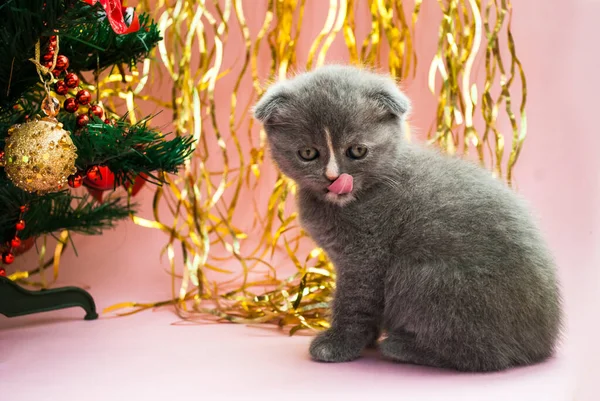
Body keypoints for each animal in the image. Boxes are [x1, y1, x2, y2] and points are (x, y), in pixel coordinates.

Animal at [253, 64, 564, 370]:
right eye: (307, 153)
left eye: (357, 150)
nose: (334, 177)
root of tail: (540, 344)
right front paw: (363, 341)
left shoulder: (367, 255)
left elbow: (354, 302)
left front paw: (338, 345)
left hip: (422, 276)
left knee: (484, 355)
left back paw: (402, 347)